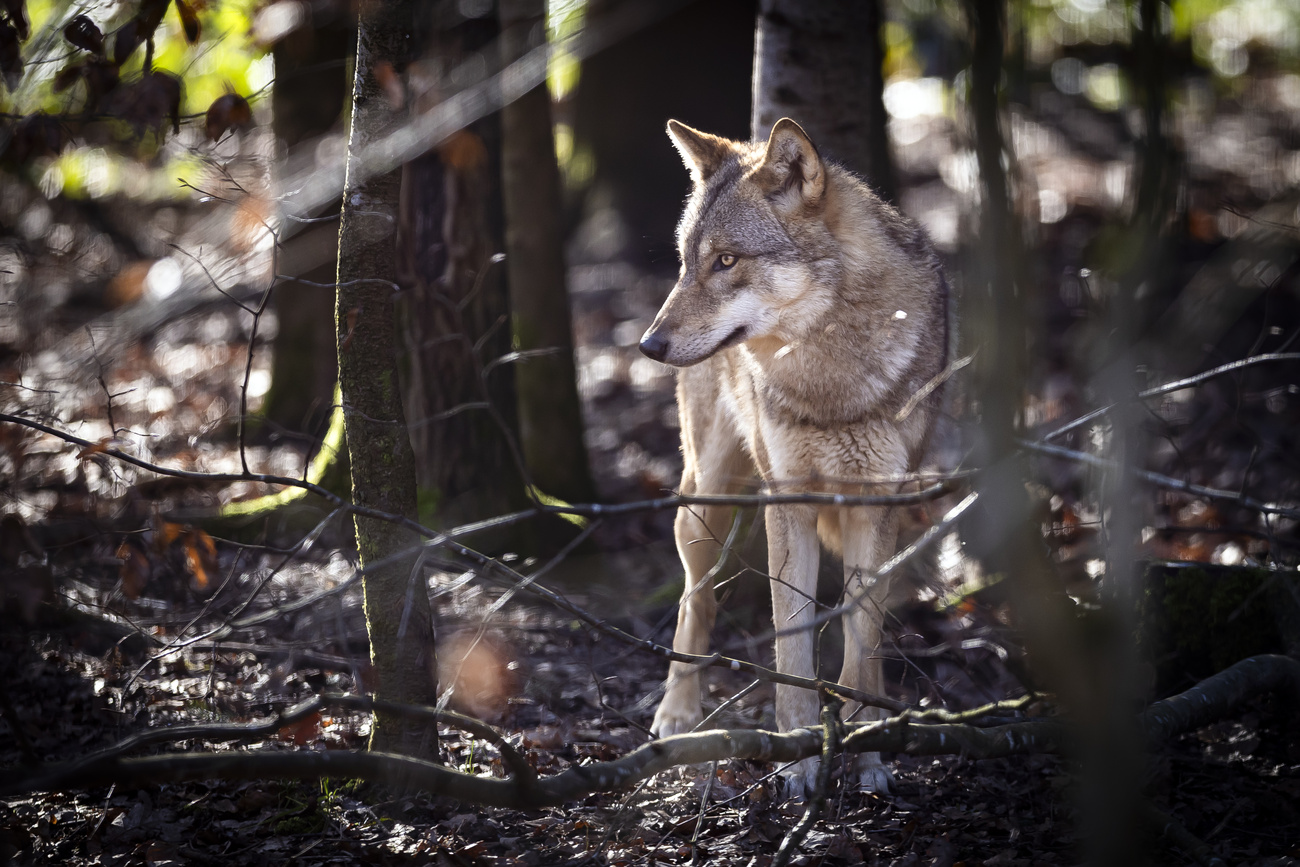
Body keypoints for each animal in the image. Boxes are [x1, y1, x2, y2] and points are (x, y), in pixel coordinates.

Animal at [640, 118, 949, 794]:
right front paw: (802, 762)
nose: (648, 345)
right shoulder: (788, 503)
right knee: (696, 597)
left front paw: (868, 753)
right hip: (704, 502)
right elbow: (792, 643)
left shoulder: (876, 504)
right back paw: (676, 713)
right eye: (686, 262)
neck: (830, 380)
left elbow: (862, 641)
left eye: (727, 260)